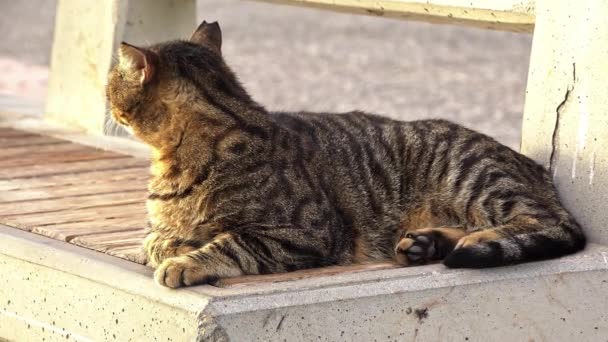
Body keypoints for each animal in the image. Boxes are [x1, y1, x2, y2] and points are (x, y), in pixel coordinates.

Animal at [107, 20, 588, 288]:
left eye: (113, 83)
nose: (105, 97)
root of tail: (534, 168)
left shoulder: (307, 232)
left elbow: (232, 243)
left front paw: (186, 260)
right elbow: (154, 237)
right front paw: (174, 242)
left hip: (476, 182)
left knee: (548, 224)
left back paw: (472, 242)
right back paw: (427, 243)